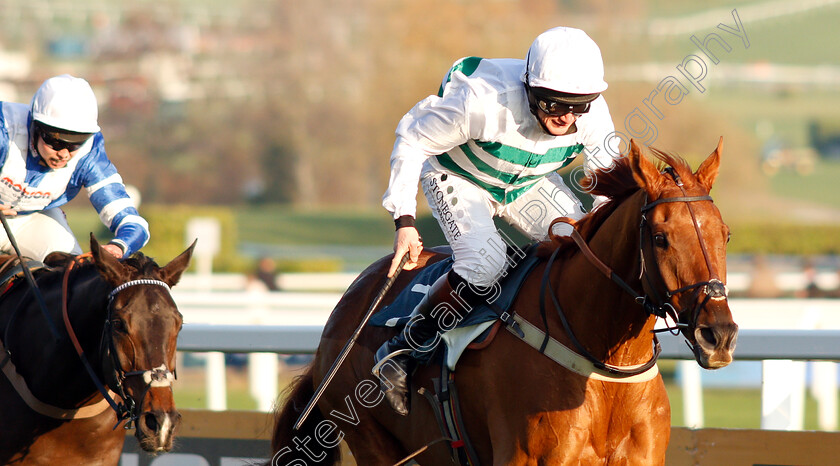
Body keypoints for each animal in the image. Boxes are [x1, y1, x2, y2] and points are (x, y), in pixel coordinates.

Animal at [272, 139, 740, 466]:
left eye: (726, 234)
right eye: (660, 238)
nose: (719, 335)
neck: (602, 363)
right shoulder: (524, 457)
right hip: (373, 443)